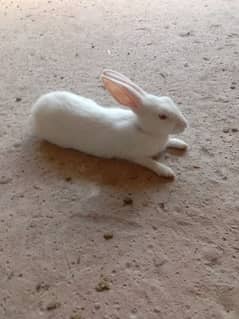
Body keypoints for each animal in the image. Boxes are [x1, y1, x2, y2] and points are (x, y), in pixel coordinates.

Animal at [30, 69, 188, 179]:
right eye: (162, 116)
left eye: (168, 99)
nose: (185, 125)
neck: (141, 129)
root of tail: (37, 106)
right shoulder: (135, 156)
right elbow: (151, 163)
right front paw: (167, 172)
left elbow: (170, 142)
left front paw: (181, 144)